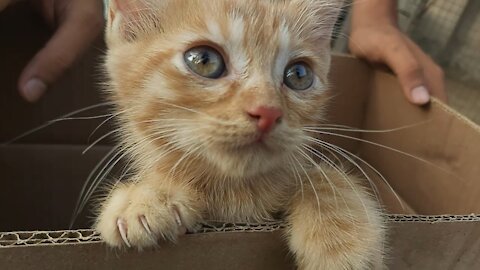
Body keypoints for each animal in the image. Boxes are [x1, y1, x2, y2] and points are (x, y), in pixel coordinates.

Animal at [95, 1, 384, 268]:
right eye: (204, 60)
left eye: (299, 74)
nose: (268, 111)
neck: (236, 193)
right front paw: (147, 196)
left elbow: (327, 179)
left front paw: (343, 248)